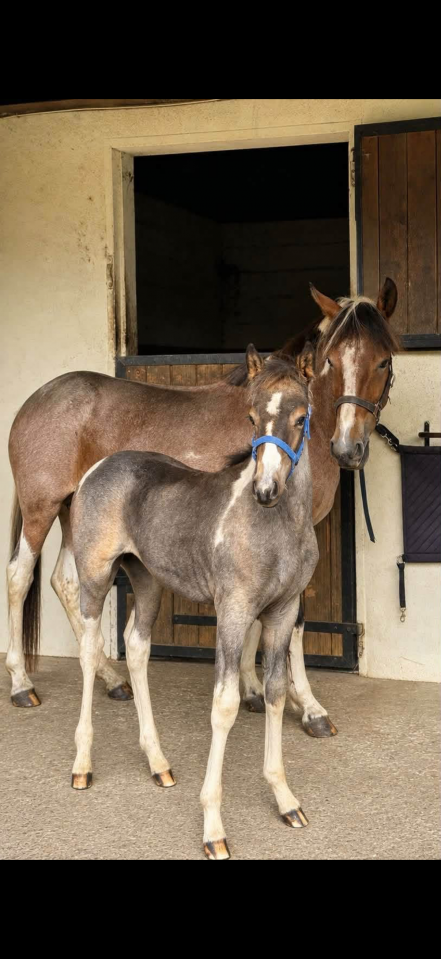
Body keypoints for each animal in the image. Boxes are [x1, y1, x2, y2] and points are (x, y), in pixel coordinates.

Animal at [6, 279, 399, 738]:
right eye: (332, 361)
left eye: (383, 361)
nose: (348, 448)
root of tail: (35, 399)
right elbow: (295, 622)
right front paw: (309, 707)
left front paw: (251, 689)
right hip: (41, 508)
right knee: (19, 577)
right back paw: (21, 684)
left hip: (76, 518)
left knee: (65, 584)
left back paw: (111, 678)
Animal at [68, 346, 318, 860]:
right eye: (250, 417)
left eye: (301, 417)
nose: (266, 491)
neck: (277, 529)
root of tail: (98, 468)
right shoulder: (234, 612)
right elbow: (224, 705)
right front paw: (213, 828)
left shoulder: (282, 614)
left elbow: (276, 692)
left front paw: (286, 800)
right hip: (96, 577)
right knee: (88, 649)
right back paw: (82, 764)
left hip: (146, 580)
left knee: (136, 647)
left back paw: (158, 762)